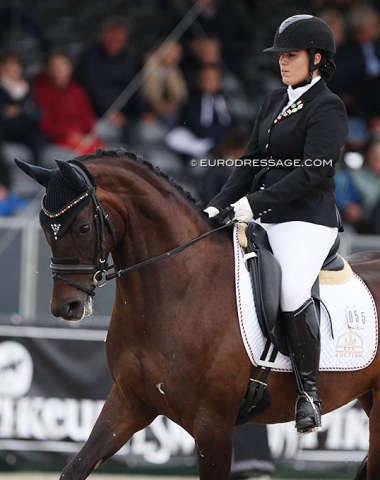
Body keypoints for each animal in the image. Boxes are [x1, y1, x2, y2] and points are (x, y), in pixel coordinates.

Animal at [16, 149, 380, 476]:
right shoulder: (128, 404)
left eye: (81, 228)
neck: (180, 289)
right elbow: (75, 468)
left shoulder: (213, 425)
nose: (66, 307)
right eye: (45, 228)